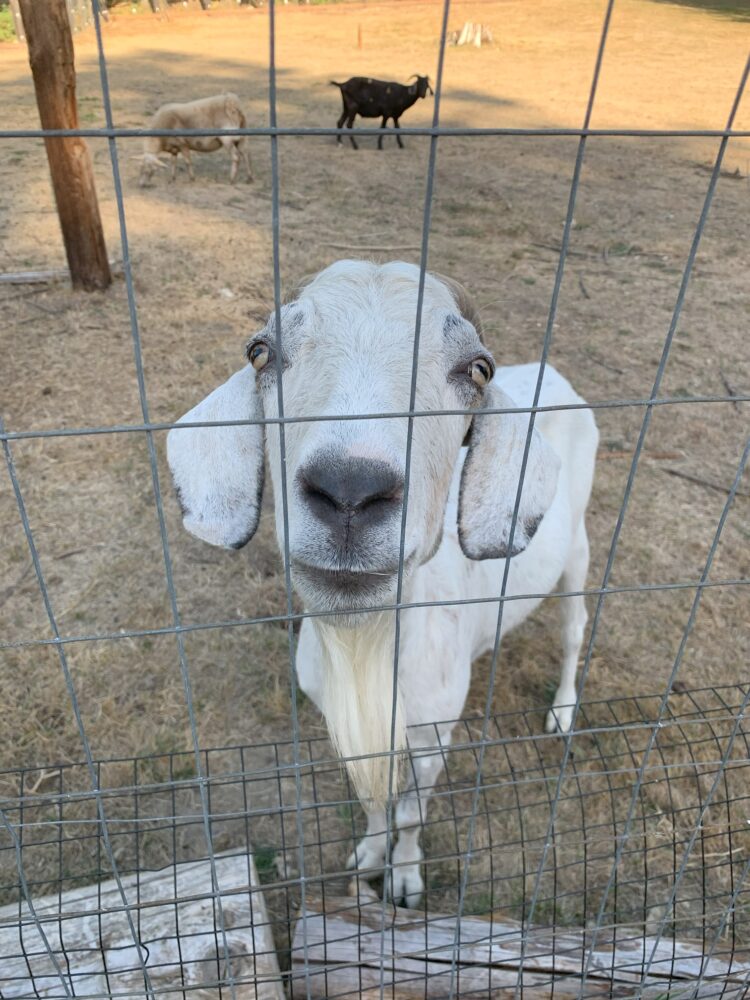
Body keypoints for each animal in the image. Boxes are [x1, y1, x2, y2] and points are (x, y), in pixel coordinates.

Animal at [167, 260, 599, 907]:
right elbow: (373, 803)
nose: (349, 489)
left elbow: (411, 814)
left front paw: (404, 878)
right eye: (262, 352)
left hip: (576, 551)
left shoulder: (432, 736)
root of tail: (551, 374)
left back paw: (563, 712)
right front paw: (369, 857)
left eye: (477, 369)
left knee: (574, 629)